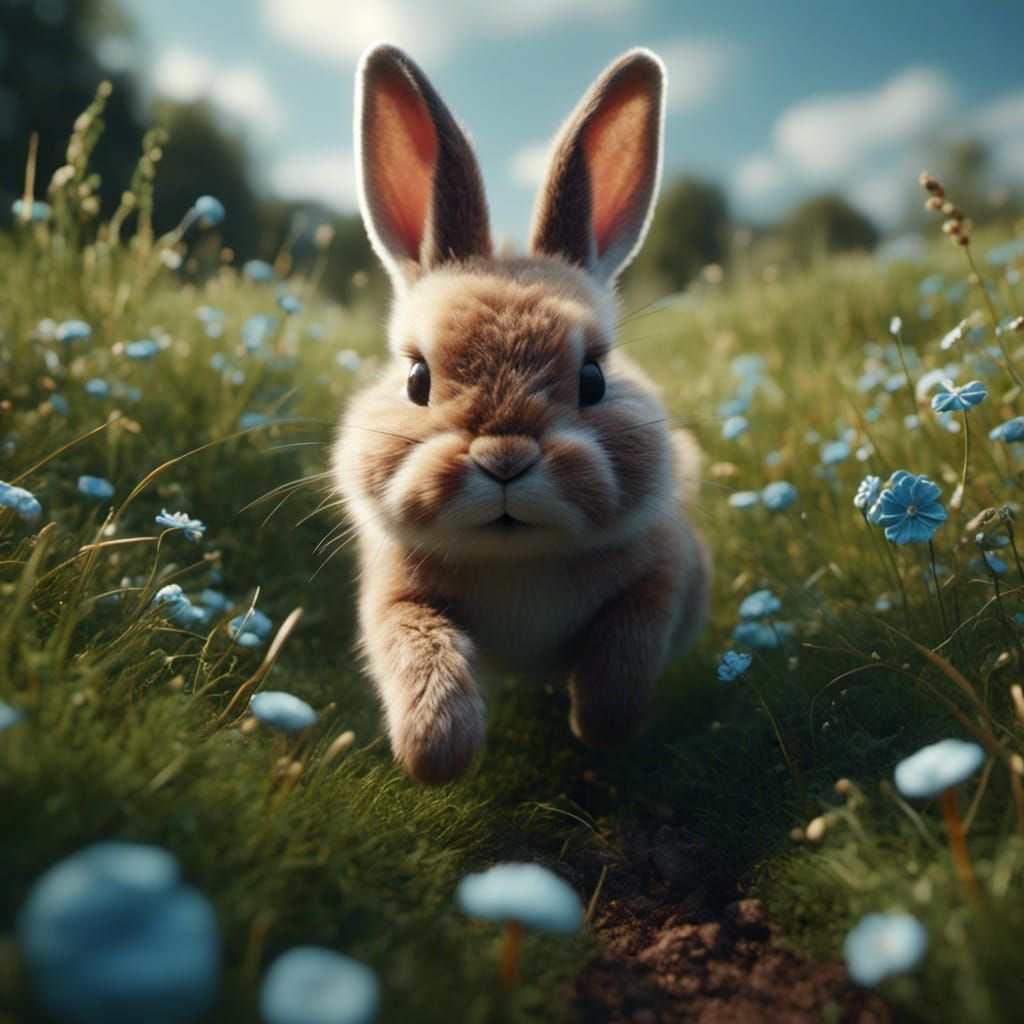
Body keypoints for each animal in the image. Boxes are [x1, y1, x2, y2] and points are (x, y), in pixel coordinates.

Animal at [333, 42, 711, 784]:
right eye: (417, 379)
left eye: (594, 378)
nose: (503, 460)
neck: (517, 556)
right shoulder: (395, 602)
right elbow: (419, 665)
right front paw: (439, 754)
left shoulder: (662, 581)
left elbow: (623, 667)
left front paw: (593, 725)